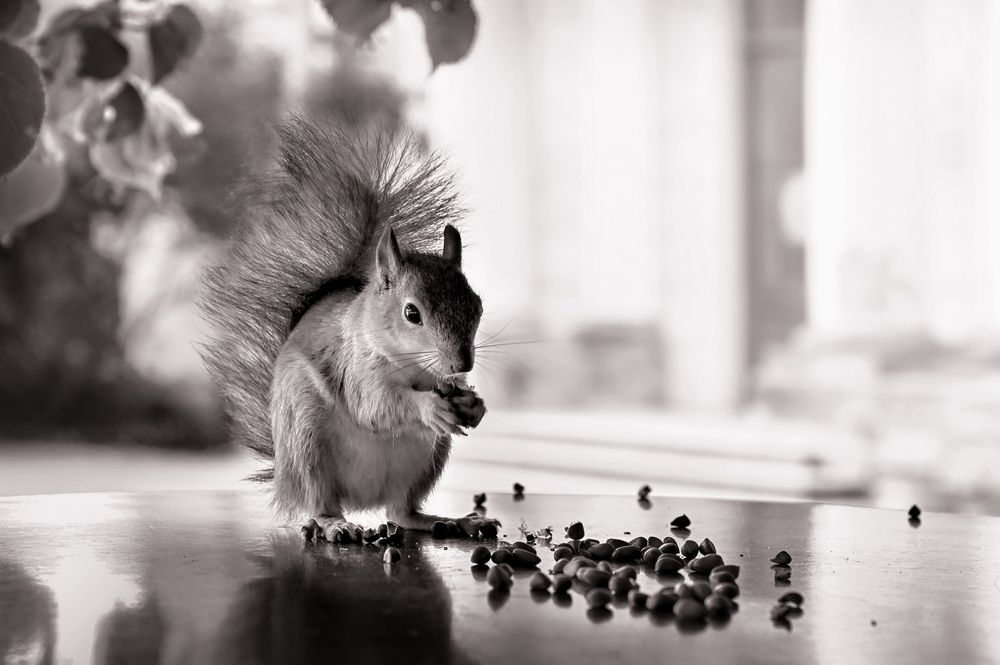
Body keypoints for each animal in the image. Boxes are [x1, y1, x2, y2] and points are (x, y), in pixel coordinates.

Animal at [200, 116, 498, 541]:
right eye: (412, 313)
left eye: (477, 305)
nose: (463, 364)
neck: (413, 365)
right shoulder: (355, 368)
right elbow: (374, 406)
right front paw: (427, 406)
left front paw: (475, 404)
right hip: (306, 440)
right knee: (321, 502)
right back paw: (336, 525)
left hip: (429, 456)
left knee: (402, 512)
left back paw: (453, 521)